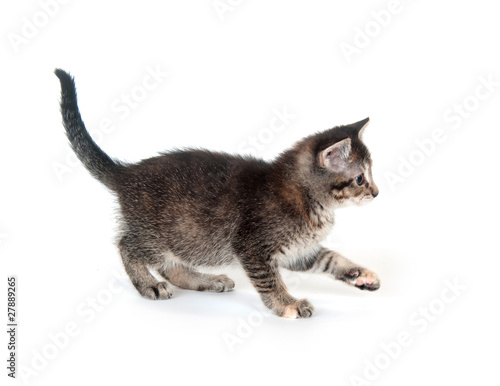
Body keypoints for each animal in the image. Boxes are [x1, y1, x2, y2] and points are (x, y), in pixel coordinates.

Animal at [55, 69, 378, 320]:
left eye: (370, 174)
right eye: (360, 178)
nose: (376, 192)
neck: (311, 201)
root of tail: (127, 173)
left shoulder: (299, 251)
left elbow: (332, 258)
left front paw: (360, 274)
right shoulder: (253, 247)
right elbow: (270, 282)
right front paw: (287, 304)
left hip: (184, 238)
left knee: (171, 266)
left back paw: (205, 280)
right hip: (158, 234)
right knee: (126, 246)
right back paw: (148, 284)